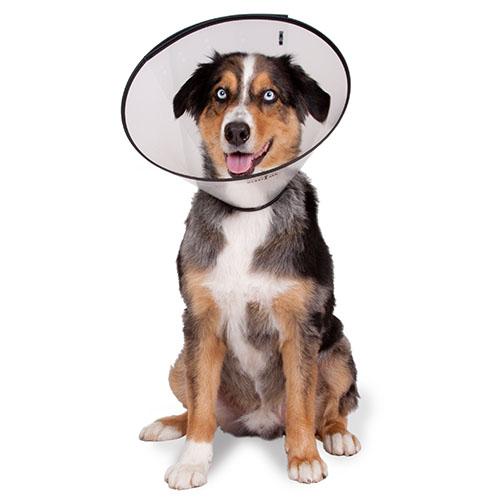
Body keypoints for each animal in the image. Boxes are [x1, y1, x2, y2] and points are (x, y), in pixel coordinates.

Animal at [139, 52, 360, 489]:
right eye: (220, 94)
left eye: (270, 95)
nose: (236, 131)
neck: (246, 210)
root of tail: (258, 424)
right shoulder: (201, 320)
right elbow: (202, 405)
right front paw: (192, 462)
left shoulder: (300, 324)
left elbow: (301, 402)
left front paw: (304, 458)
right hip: (180, 362)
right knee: (199, 409)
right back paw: (169, 424)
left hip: (339, 351)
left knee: (332, 407)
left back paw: (336, 435)